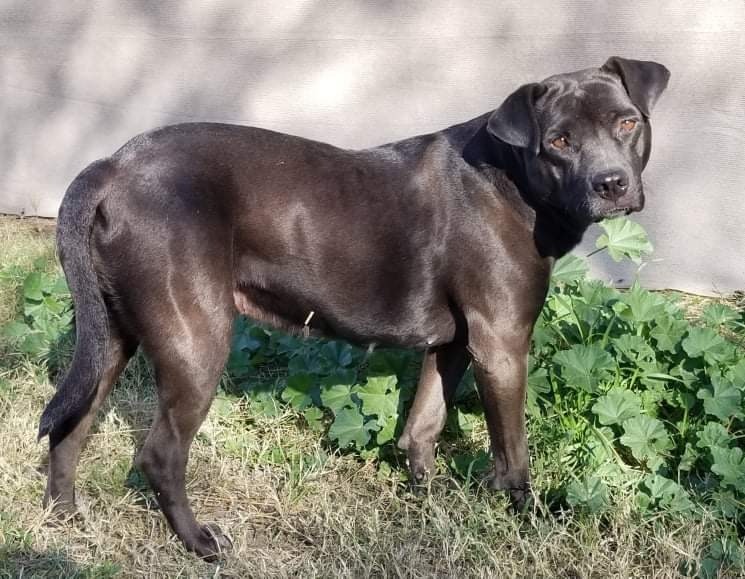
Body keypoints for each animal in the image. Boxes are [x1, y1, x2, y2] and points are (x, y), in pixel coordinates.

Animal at [39, 57, 668, 556]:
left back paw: (64, 517)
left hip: (112, 336)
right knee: (160, 455)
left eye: (627, 122)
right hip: (197, 340)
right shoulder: (502, 341)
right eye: (558, 140)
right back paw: (199, 542)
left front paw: (428, 505)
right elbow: (512, 454)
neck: (512, 179)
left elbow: (422, 427)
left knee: (70, 421)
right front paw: (529, 521)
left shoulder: (453, 343)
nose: (611, 183)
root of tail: (115, 163)